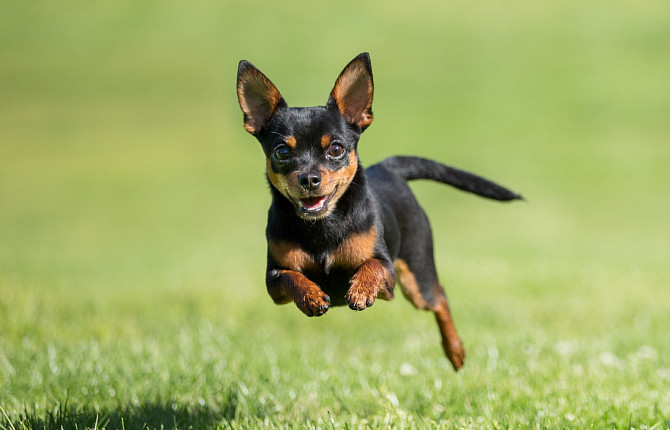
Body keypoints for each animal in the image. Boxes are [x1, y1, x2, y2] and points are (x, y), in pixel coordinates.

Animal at [236, 53, 524, 370]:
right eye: (282, 152)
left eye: (336, 150)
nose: (309, 179)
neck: (323, 226)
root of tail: (389, 168)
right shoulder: (273, 280)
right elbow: (292, 277)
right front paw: (311, 295)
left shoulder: (388, 276)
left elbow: (371, 265)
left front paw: (361, 289)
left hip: (416, 278)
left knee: (439, 297)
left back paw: (455, 351)